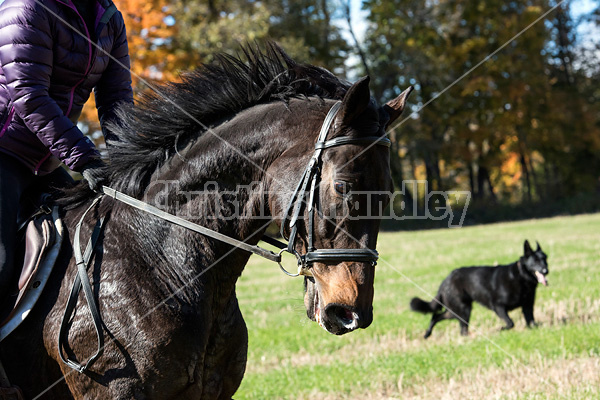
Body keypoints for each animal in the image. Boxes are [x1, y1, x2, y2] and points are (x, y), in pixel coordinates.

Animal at [412, 241, 548, 338]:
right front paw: (499, 329)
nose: (546, 270)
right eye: (536, 261)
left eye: (545, 259)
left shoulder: (527, 306)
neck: (520, 276)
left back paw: (427, 334)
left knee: (436, 317)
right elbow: (510, 323)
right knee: (460, 328)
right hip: (463, 310)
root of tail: (445, 281)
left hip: (455, 311)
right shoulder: (498, 307)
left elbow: (531, 322)